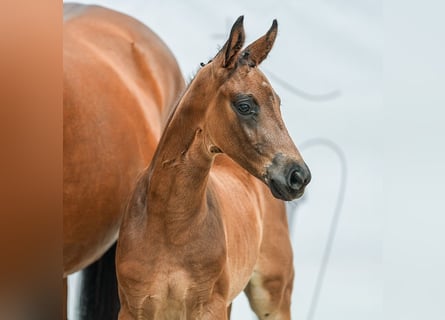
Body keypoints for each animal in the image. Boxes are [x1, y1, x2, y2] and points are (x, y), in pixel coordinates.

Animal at [116, 16, 310, 320]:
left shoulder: (209, 308)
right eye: (245, 105)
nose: (298, 176)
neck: (170, 226)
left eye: (278, 102)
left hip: (273, 294)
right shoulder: (133, 308)